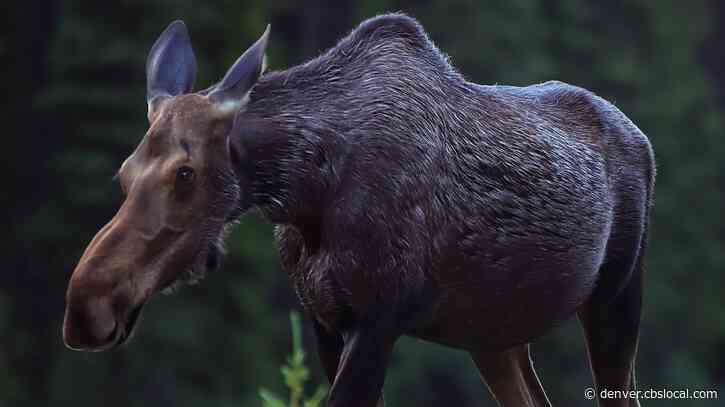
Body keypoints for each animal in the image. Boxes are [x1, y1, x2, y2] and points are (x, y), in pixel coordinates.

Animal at [63, 14, 655, 407]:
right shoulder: (327, 321)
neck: (307, 191)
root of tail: (641, 137)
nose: (85, 307)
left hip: (616, 295)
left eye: (184, 173)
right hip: (494, 333)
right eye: (123, 173)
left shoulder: (379, 318)